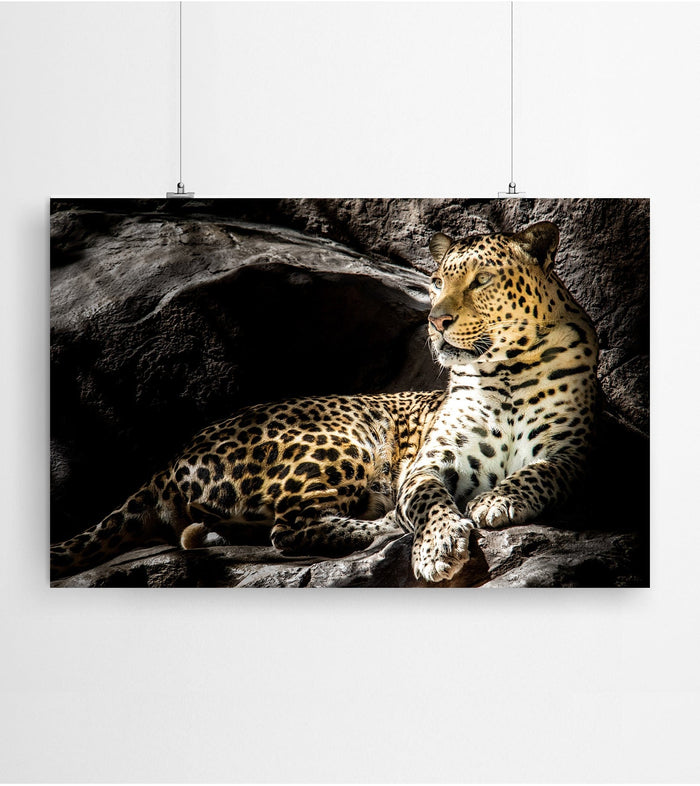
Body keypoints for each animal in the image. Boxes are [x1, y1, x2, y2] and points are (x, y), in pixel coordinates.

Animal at [50, 220, 598, 584]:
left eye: (482, 280)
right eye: (439, 281)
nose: (436, 320)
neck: (506, 371)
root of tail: (170, 460)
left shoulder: (572, 454)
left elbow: (540, 471)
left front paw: (497, 500)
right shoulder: (428, 463)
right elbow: (427, 500)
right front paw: (438, 546)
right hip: (342, 439)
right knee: (290, 529)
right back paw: (381, 526)